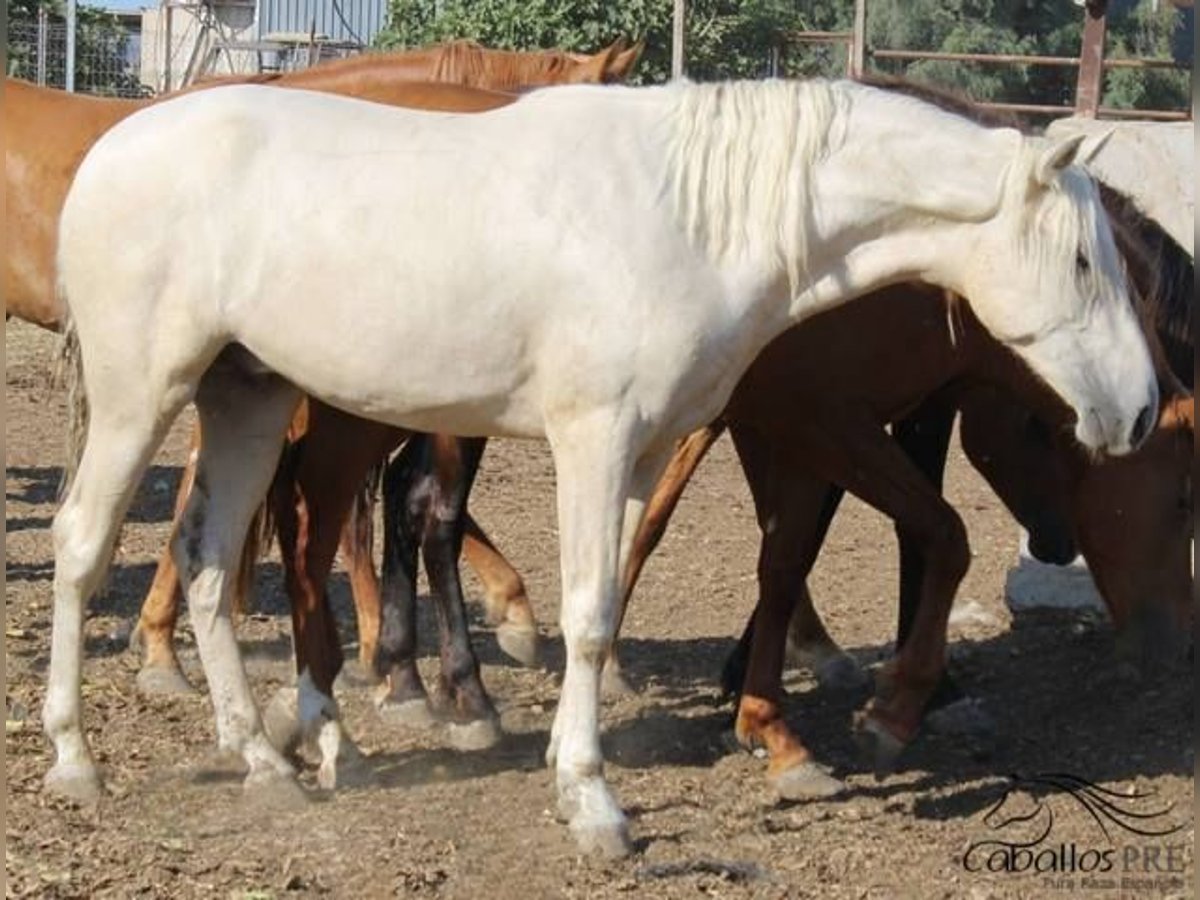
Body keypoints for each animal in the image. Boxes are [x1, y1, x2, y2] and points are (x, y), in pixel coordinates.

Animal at [44, 79, 1152, 859]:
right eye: (1083, 260)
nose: (1137, 409)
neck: (690, 221)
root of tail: (111, 150)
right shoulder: (595, 437)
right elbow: (583, 616)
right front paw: (595, 805)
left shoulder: (648, 450)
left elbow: (615, 600)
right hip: (147, 395)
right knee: (84, 547)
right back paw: (75, 761)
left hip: (249, 396)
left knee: (206, 560)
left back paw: (263, 760)